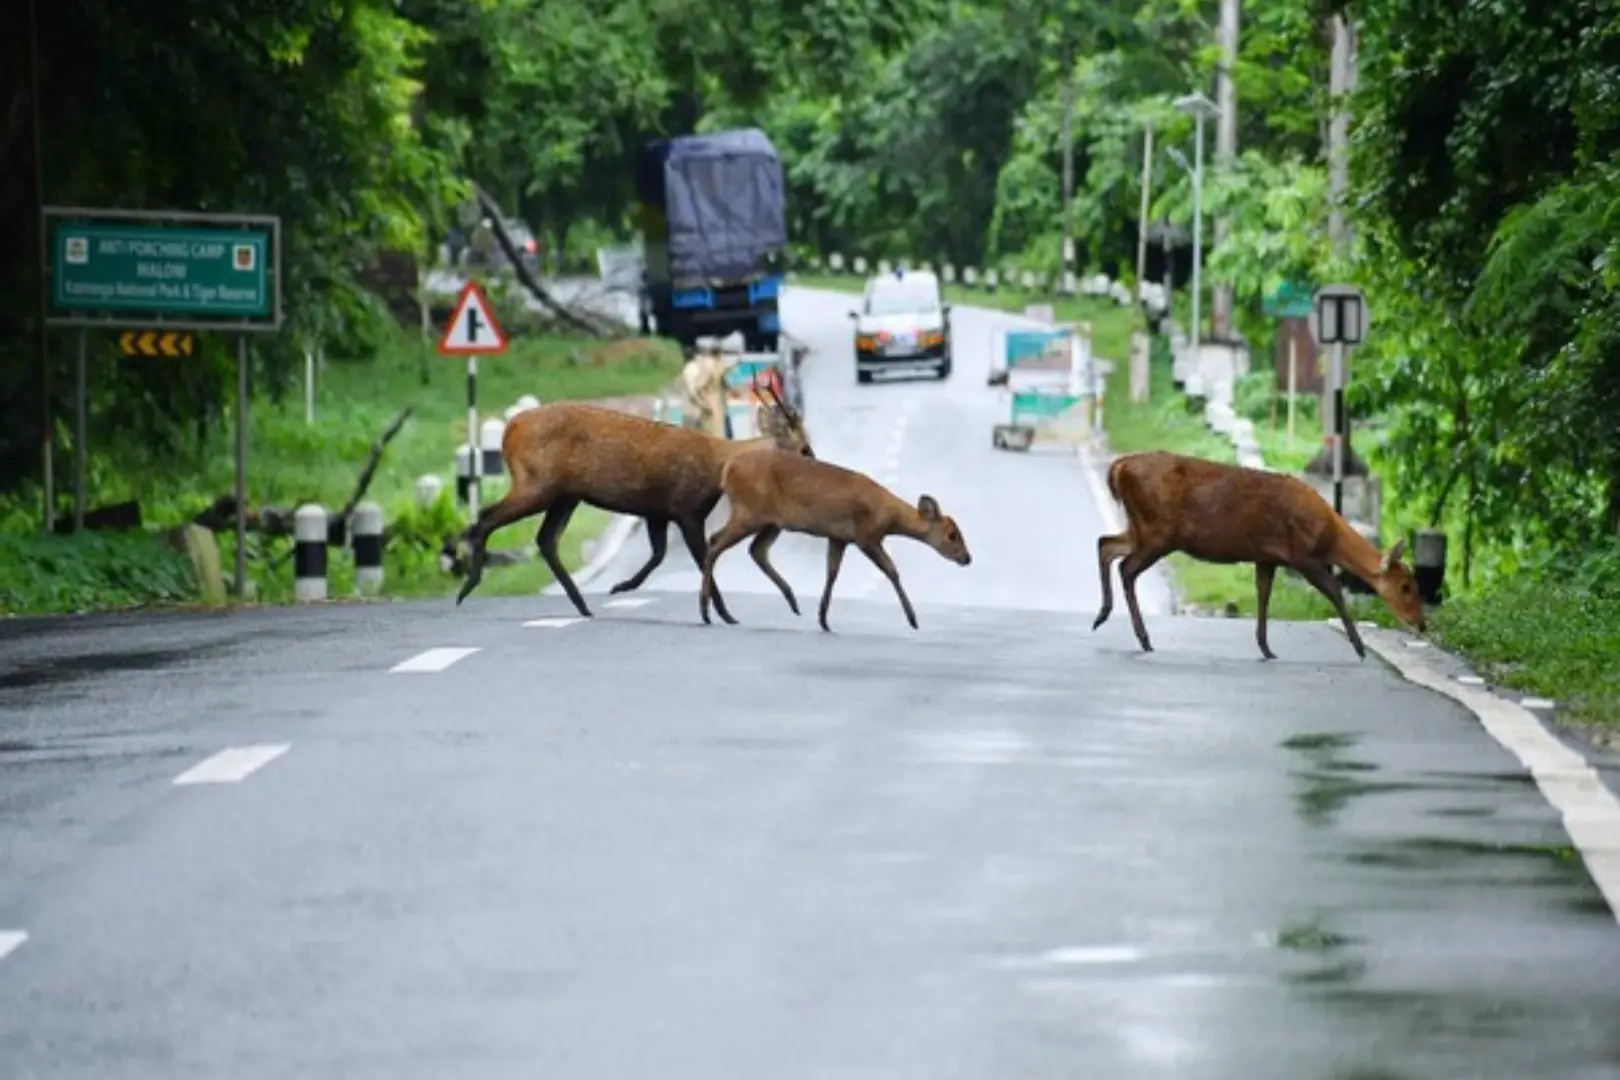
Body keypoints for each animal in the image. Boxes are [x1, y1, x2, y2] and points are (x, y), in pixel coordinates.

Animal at [453, 382, 810, 621]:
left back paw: (582, 604)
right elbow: (701, 559)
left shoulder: (658, 510)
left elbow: (658, 555)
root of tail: (509, 429)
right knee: (486, 516)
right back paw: (468, 586)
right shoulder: (687, 508)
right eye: (804, 448)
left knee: (545, 539)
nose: (814, 461)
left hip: (565, 494)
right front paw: (724, 614)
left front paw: (621, 586)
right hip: (536, 482)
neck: (718, 466)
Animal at [699, 450, 972, 634]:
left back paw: (790, 601)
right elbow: (892, 571)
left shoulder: (839, 537)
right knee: (715, 541)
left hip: (771, 522)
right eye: (952, 534)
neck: (888, 517)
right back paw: (709, 611)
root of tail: (728, 470)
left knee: (756, 550)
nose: (967, 558)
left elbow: (832, 573)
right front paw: (913, 620)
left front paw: (823, 618)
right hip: (749, 511)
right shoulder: (866, 536)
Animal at [1095, 450, 1425, 660]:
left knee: (1106, 544)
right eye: (1406, 586)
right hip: (1158, 530)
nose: (1422, 624)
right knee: (1126, 567)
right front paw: (1359, 648)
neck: (1329, 536)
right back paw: (1142, 637)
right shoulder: (1301, 555)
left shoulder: (1267, 557)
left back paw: (1104, 616)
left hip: (1143, 528)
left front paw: (1265, 647)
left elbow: (1263, 593)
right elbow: (1334, 590)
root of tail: (1119, 467)